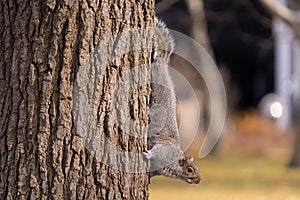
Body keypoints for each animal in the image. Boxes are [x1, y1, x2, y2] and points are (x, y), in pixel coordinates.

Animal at [144, 17, 202, 184]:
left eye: (198, 169)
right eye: (189, 170)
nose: (199, 180)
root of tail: (164, 63)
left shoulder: (158, 169)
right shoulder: (164, 152)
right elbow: (155, 152)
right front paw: (147, 154)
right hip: (156, 81)